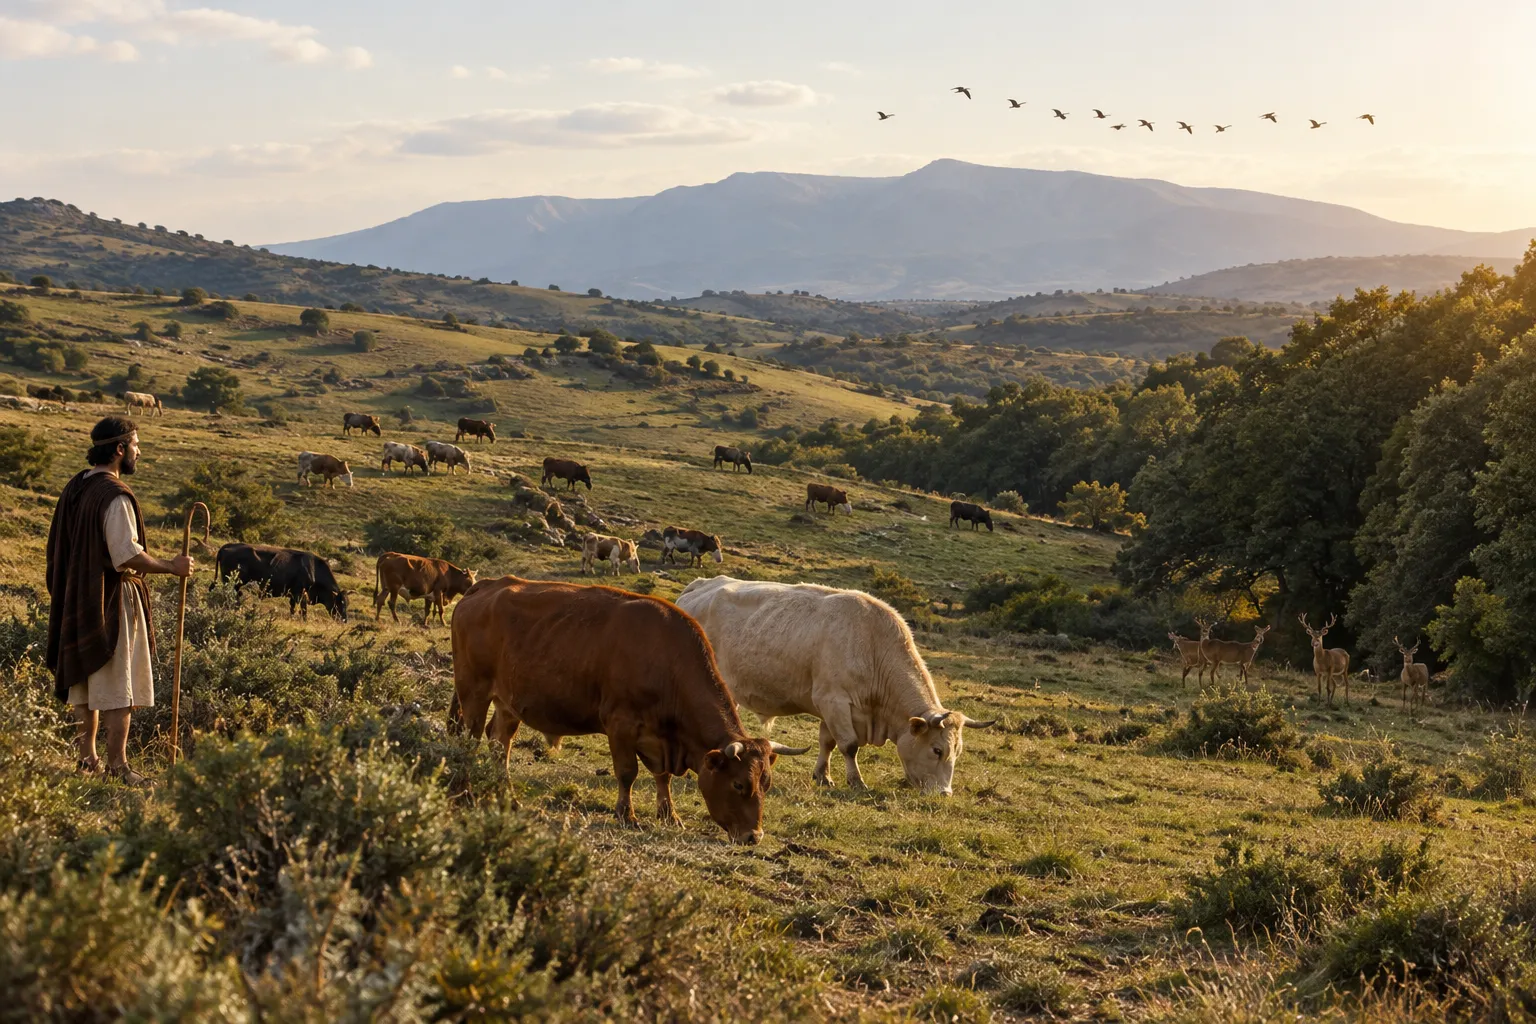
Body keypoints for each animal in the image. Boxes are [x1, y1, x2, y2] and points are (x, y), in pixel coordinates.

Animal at [215, 543, 349, 621]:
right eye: (340, 603)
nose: (344, 620)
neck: (313, 569)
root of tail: (226, 546)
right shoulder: (301, 593)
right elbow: (304, 610)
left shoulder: (293, 594)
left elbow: (292, 608)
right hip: (232, 581)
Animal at [449, 576, 809, 842]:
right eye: (738, 785)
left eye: (766, 785)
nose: (754, 836)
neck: (667, 659)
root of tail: (488, 585)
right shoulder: (620, 725)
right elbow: (627, 772)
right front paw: (628, 815)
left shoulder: (661, 739)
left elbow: (662, 777)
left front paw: (670, 815)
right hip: (473, 691)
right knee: (470, 739)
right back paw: (464, 792)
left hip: (508, 702)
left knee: (500, 744)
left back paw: (506, 795)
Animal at [677, 576, 994, 795]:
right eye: (937, 750)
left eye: (958, 751)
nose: (944, 793)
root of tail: (700, 586)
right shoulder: (834, 701)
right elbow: (849, 745)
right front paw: (856, 781)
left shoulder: (829, 707)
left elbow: (827, 742)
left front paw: (823, 776)